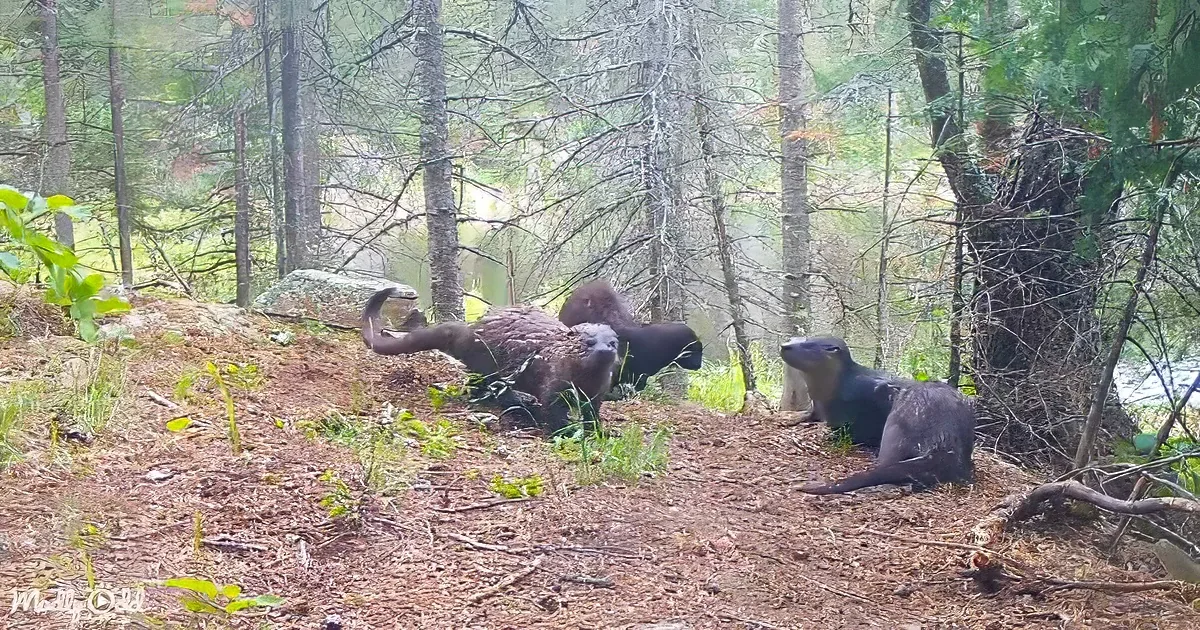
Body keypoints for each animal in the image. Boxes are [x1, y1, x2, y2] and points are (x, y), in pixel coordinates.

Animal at [362, 287, 619, 432]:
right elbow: (553, 412)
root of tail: (471, 331)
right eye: (588, 342)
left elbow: (592, 414)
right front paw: (566, 431)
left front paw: (599, 431)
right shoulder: (553, 385)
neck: (583, 381)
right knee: (482, 387)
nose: (604, 350)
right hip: (488, 366)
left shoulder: (597, 394)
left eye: (613, 342)